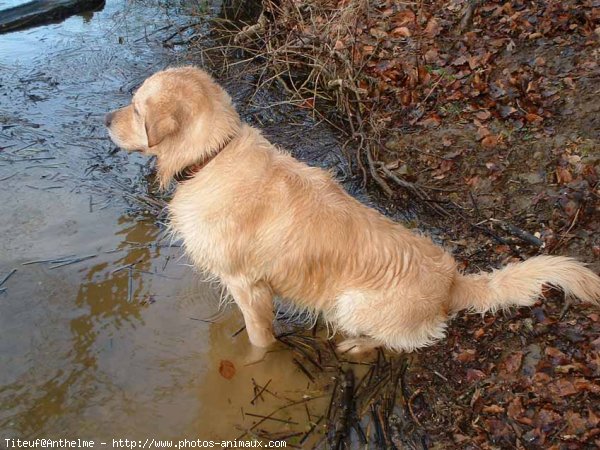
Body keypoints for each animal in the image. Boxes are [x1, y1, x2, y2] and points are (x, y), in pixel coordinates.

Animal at [105, 67, 600, 356]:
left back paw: (355, 346)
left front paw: (257, 362)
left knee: (400, 342)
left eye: (136, 108)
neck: (211, 155)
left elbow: (260, 337)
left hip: (351, 301)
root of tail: (452, 282)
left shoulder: (249, 284)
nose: (106, 121)